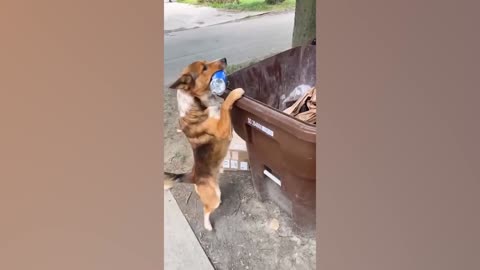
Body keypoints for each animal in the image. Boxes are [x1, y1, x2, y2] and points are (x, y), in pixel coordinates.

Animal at [165, 58, 246, 231]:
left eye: (206, 62)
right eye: (204, 68)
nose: (224, 59)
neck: (198, 103)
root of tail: (194, 176)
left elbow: (223, 106)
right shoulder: (223, 129)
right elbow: (225, 105)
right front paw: (235, 93)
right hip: (214, 196)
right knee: (206, 209)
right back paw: (208, 225)